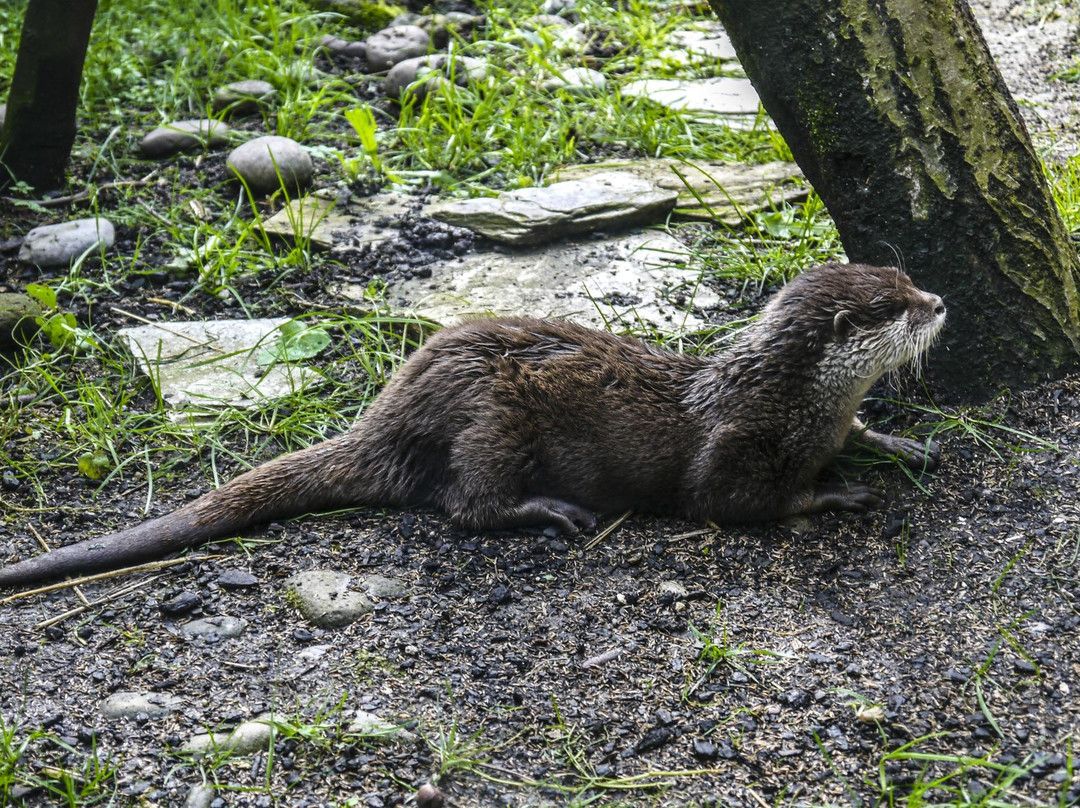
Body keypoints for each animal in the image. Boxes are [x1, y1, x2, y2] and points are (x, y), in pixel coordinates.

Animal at [0, 264, 946, 587]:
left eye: (901, 274)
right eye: (890, 308)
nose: (939, 301)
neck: (796, 401)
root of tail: (392, 408)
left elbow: (861, 435)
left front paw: (898, 442)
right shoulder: (735, 443)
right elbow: (736, 502)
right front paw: (834, 495)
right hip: (493, 419)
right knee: (464, 506)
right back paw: (548, 513)